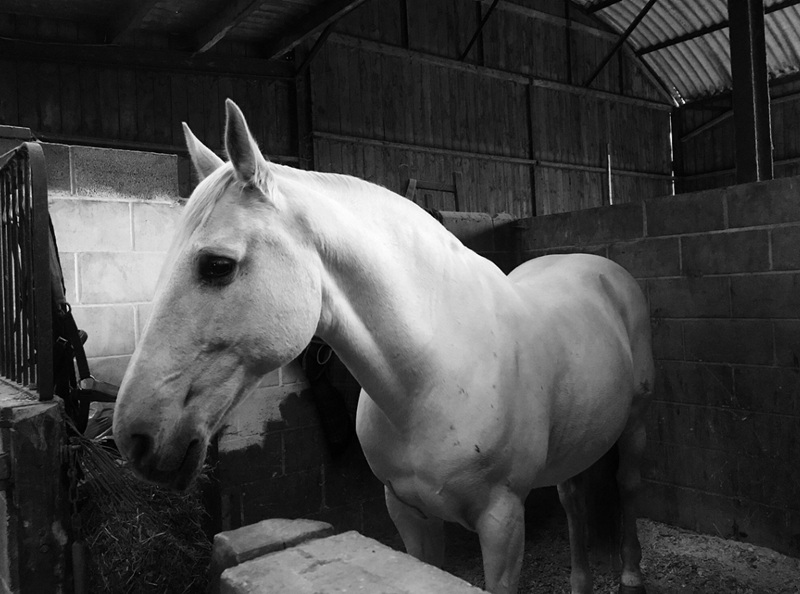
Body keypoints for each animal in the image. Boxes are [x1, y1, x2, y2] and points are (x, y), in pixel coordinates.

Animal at [113, 99, 653, 594]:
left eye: (217, 266)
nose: (134, 438)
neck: (434, 374)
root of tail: (597, 266)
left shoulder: (502, 521)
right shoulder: (407, 511)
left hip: (634, 425)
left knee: (627, 487)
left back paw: (630, 574)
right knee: (574, 500)